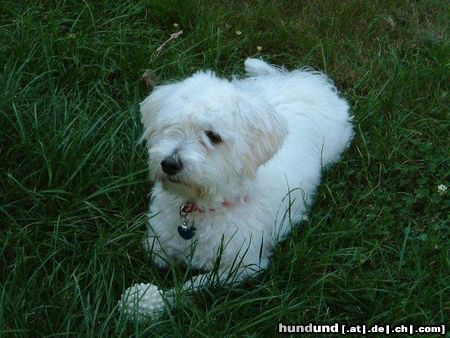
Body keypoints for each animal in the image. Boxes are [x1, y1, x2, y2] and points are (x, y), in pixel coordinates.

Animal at [119, 58, 356, 320]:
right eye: (171, 126)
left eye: (213, 136)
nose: (169, 164)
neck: (202, 207)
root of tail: (310, 81)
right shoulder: (157, 240)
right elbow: (157, 254)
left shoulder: (242, 266)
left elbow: (197, 284)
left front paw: (164, 298)